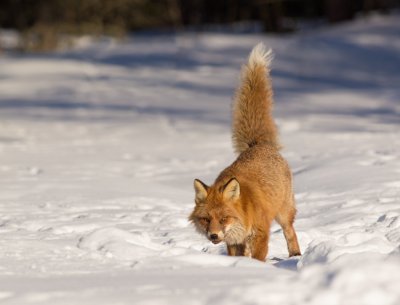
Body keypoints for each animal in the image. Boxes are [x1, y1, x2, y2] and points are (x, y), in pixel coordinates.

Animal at [189, 43, 302, 262]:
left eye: (224, 218)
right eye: (206, 219)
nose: (213, 236)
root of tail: (258, 145)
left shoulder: (260, 233)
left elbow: (258, 257)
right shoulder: (234, 242)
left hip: (283, 212)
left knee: (290, 231)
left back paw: (296, 255)